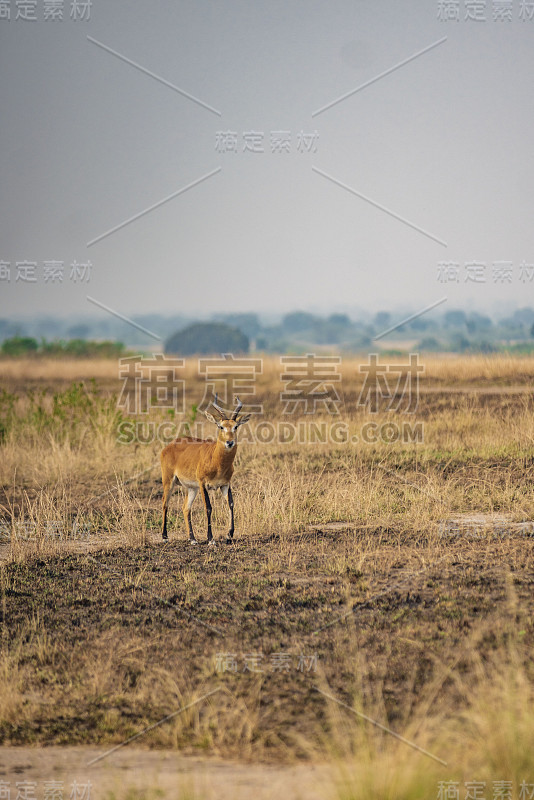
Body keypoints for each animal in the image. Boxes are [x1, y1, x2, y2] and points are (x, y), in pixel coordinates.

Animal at [161, 396, 251, 548]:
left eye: (236, 426)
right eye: (221, 426)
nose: (229, 442)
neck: (217, 461)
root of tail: (169, 445)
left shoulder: (225, 484)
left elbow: (231, 504)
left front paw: (229, 536)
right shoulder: (203, 484)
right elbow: (208, 507)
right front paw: (211, 539)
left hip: (192, 488)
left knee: (185, 508)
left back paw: (192, 539)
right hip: (169, 481)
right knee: (165, 504)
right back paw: (164, 537)